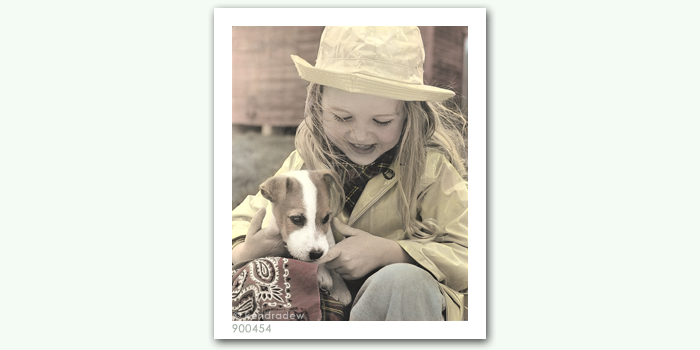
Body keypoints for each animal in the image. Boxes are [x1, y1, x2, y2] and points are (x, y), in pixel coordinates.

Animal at [260, 170, 352, 306]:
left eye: (326, 218)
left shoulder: (328, 239)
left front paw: (340, 288)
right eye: (297, 219)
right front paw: (321, 274)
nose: (316, 254)